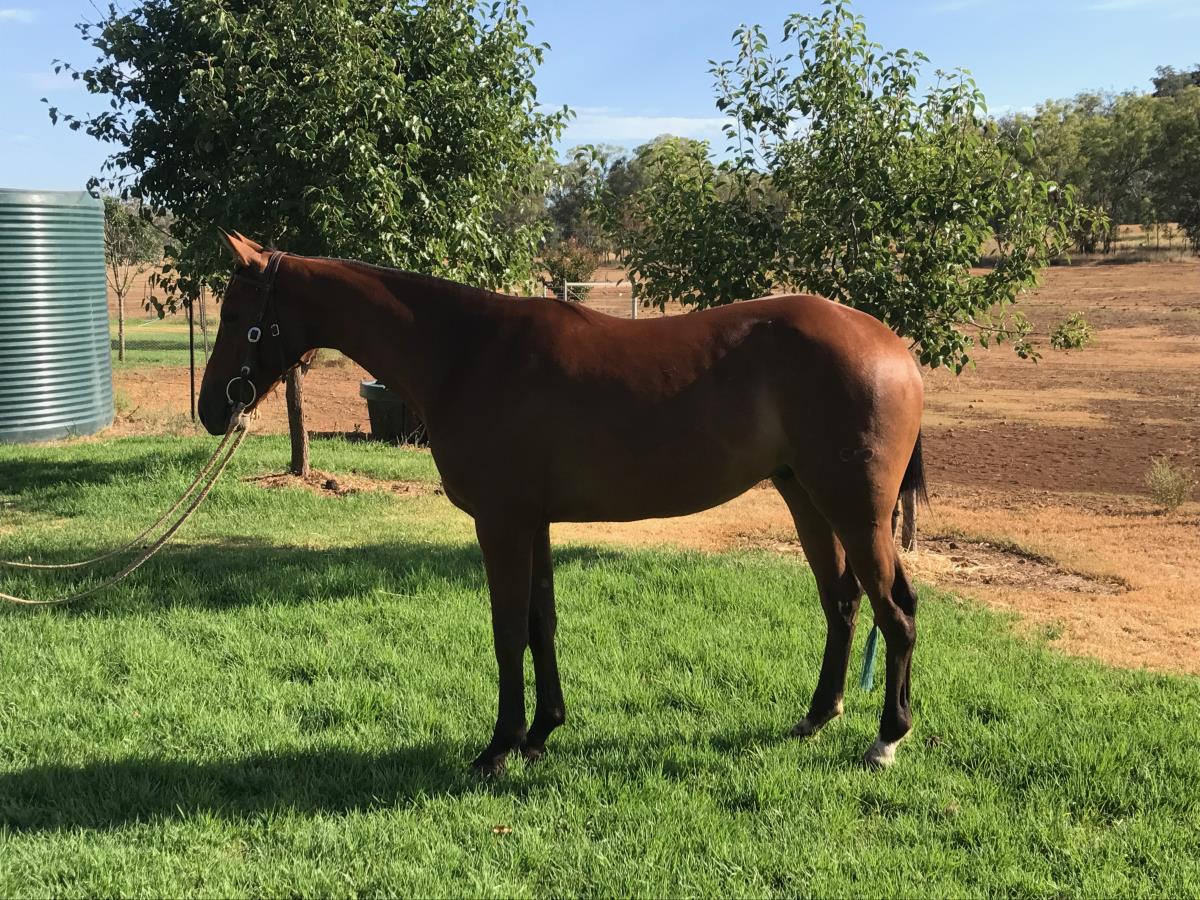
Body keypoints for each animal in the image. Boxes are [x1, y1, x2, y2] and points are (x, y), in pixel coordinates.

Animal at [199, 232, 926, 774]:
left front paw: (498, 748)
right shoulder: (534, 522)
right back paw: (817, 716)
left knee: (895, 611)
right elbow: (539, 622)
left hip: (854, 511)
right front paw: (542, 733)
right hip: (806, 499)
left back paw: (887, 738)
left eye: (236, 316)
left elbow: (506, 629)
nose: (211, 410)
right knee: (842, 602)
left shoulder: (501, 523)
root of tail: (891, 345)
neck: (465, 351)